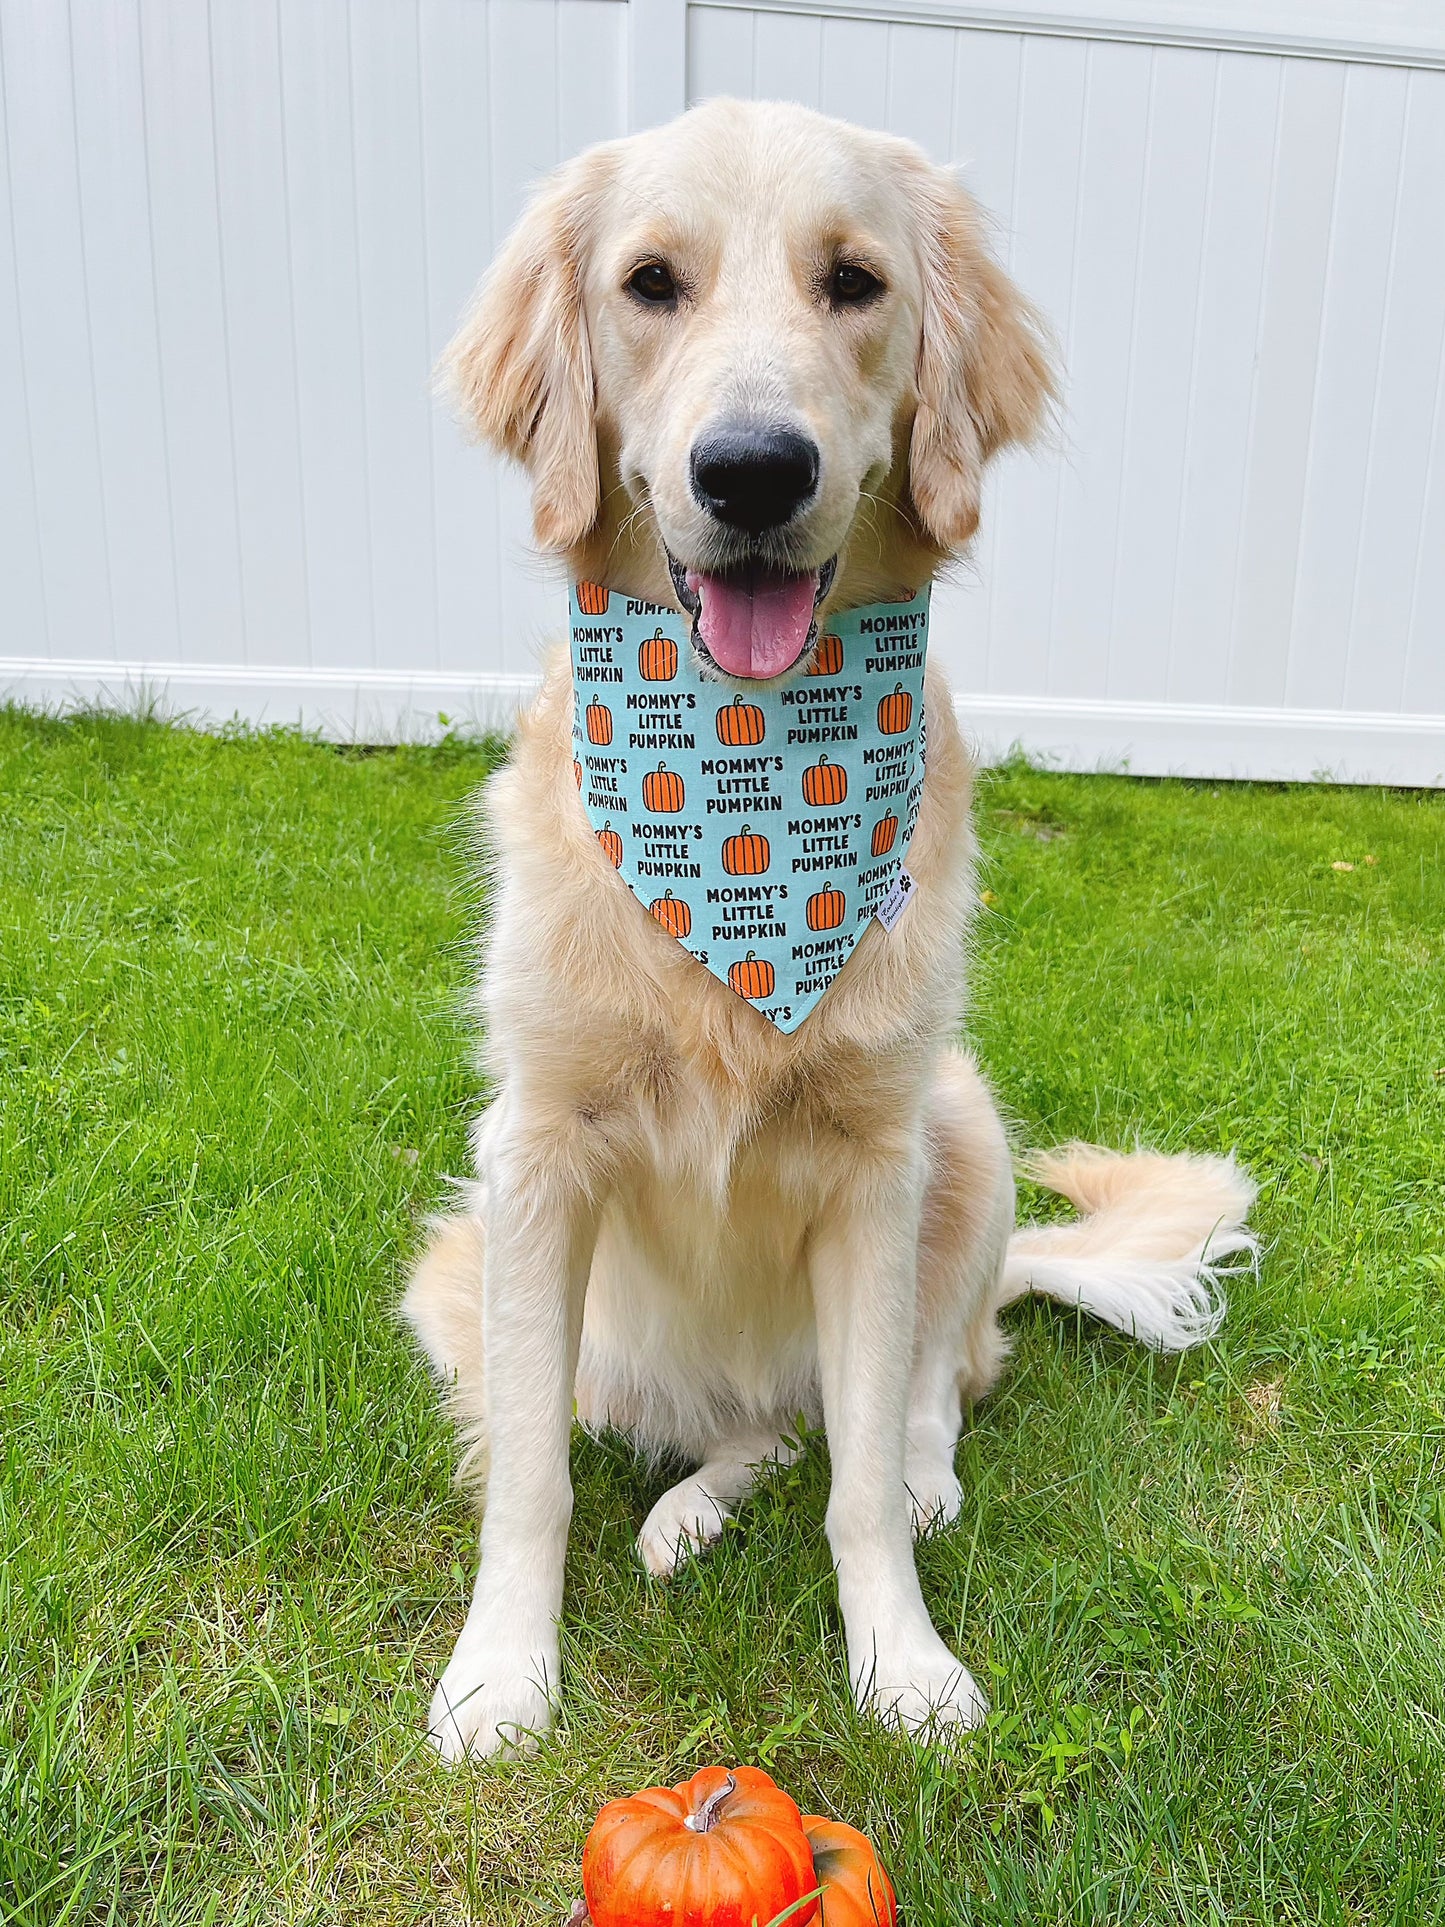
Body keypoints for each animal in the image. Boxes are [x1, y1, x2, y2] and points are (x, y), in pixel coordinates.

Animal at [404, 101, 1256, 1765]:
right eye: (649, 283)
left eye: (853, 282)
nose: (750, 470)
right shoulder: (530, 1150)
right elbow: (527, 1475)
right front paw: (500, 1671)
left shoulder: (874, 1163)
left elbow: (859, 1478)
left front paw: (901, 1661)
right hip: (478, 1278)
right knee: (742, 1429)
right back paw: (685, 1508)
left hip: (962, 1124)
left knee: (919, 1385)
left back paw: (903, 1470)